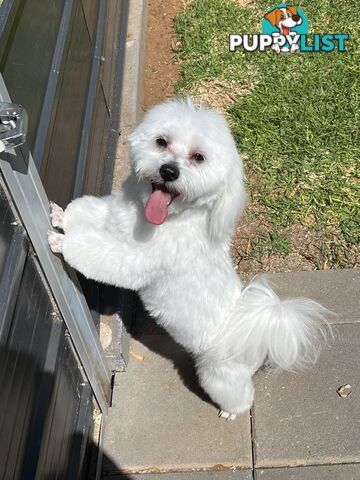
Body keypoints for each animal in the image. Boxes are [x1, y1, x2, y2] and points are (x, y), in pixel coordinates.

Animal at [49, 97, 328, 420]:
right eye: (161, 141)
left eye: (198, 157)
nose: (169, 171)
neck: (158, 216)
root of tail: (256, 333)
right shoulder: (112, 216)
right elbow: (86, 213)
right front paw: (61, 218)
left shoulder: (133, 259)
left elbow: (96, 253)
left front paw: (62, 241)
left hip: (219, 375)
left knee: (239, 395)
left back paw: (231, 412)